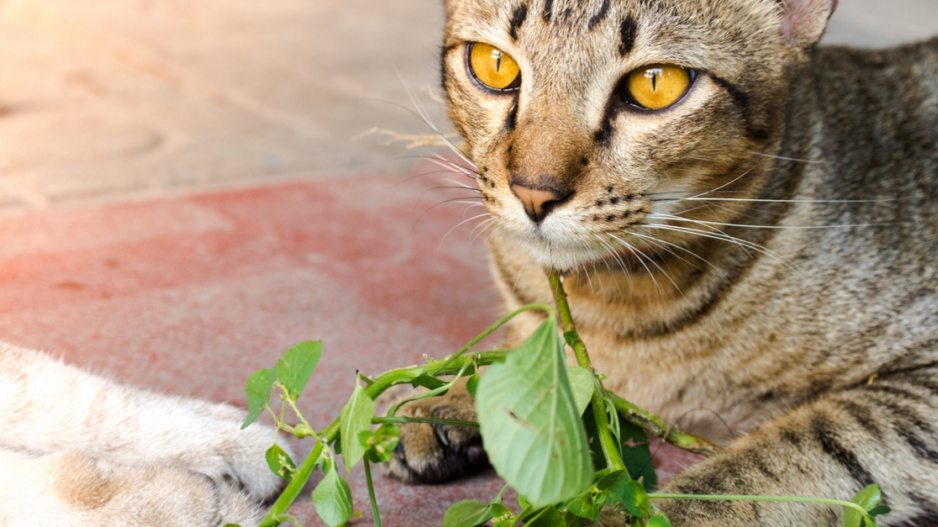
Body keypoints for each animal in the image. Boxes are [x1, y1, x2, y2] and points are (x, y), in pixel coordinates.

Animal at [386, 1, 936, 527]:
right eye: (493, 64)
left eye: (655, 84)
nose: (534, 193)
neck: (616, 307)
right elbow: (528, 361)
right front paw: (455, 396)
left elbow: (775, 459)